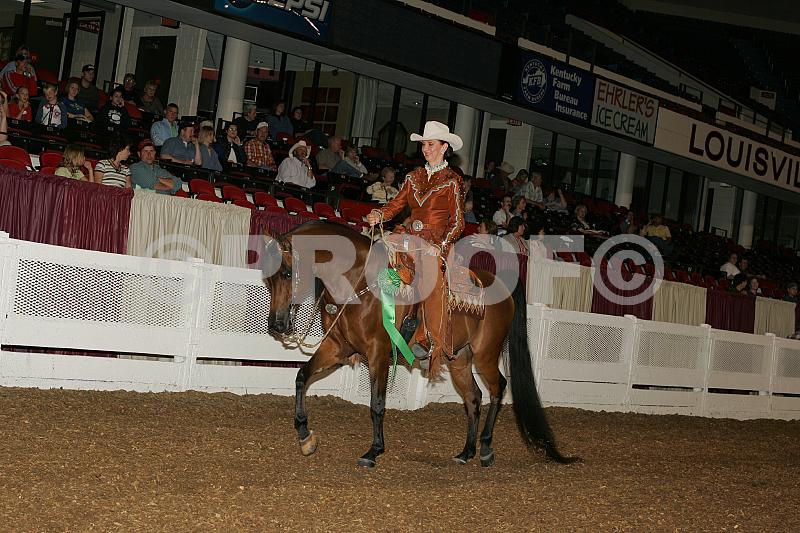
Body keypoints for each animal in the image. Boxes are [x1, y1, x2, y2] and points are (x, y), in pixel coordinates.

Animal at [263, 220, 576, 468]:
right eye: (268, 278)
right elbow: (302, 376)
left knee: (498, 388)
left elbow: (377, 404)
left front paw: (374, 451)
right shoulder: (338, 348)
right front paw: (305, 436)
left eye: (287, 273)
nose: (276, 324)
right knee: (473, 397)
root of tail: (502, 285)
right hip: (459, 359)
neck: (358, 283)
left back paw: (486, 449)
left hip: (486, 354)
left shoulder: (378, 353)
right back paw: (466, 452)